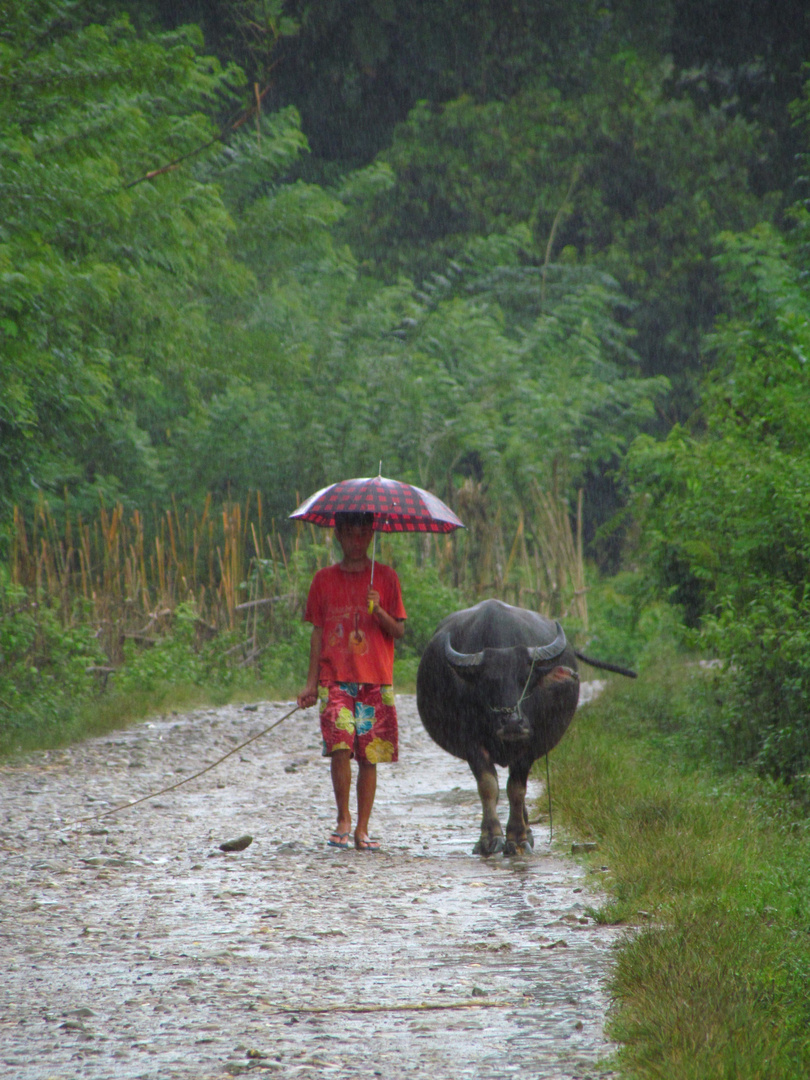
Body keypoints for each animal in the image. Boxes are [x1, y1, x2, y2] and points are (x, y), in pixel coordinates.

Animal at [414, 596, 639, 855]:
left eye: (527, 679)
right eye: (489, 682)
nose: (513, 723)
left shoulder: (530, 745)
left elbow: (517, 789)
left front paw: (518, 837)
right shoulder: (471, 743)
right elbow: (488, 786)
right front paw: (490, 838)